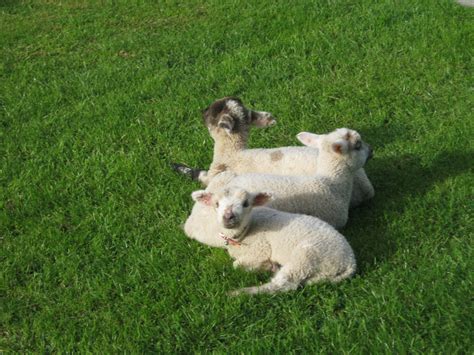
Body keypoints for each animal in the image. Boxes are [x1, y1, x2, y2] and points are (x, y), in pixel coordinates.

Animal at [172, 97, 376, 209]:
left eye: (212, 113)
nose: (202, 110)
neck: (232, 154)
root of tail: (366, 187)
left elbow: (200, 176)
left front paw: (179, 167)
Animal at [189, 185, 356, 296]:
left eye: (246, 203)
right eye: (216, 204)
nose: (229, 217)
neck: (246, 232)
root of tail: (349, 261)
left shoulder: (260, 249)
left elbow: (236, 265)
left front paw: (263, 266)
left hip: (307, 256)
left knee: (284, 285)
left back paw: (242, 292)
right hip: (322, 270)